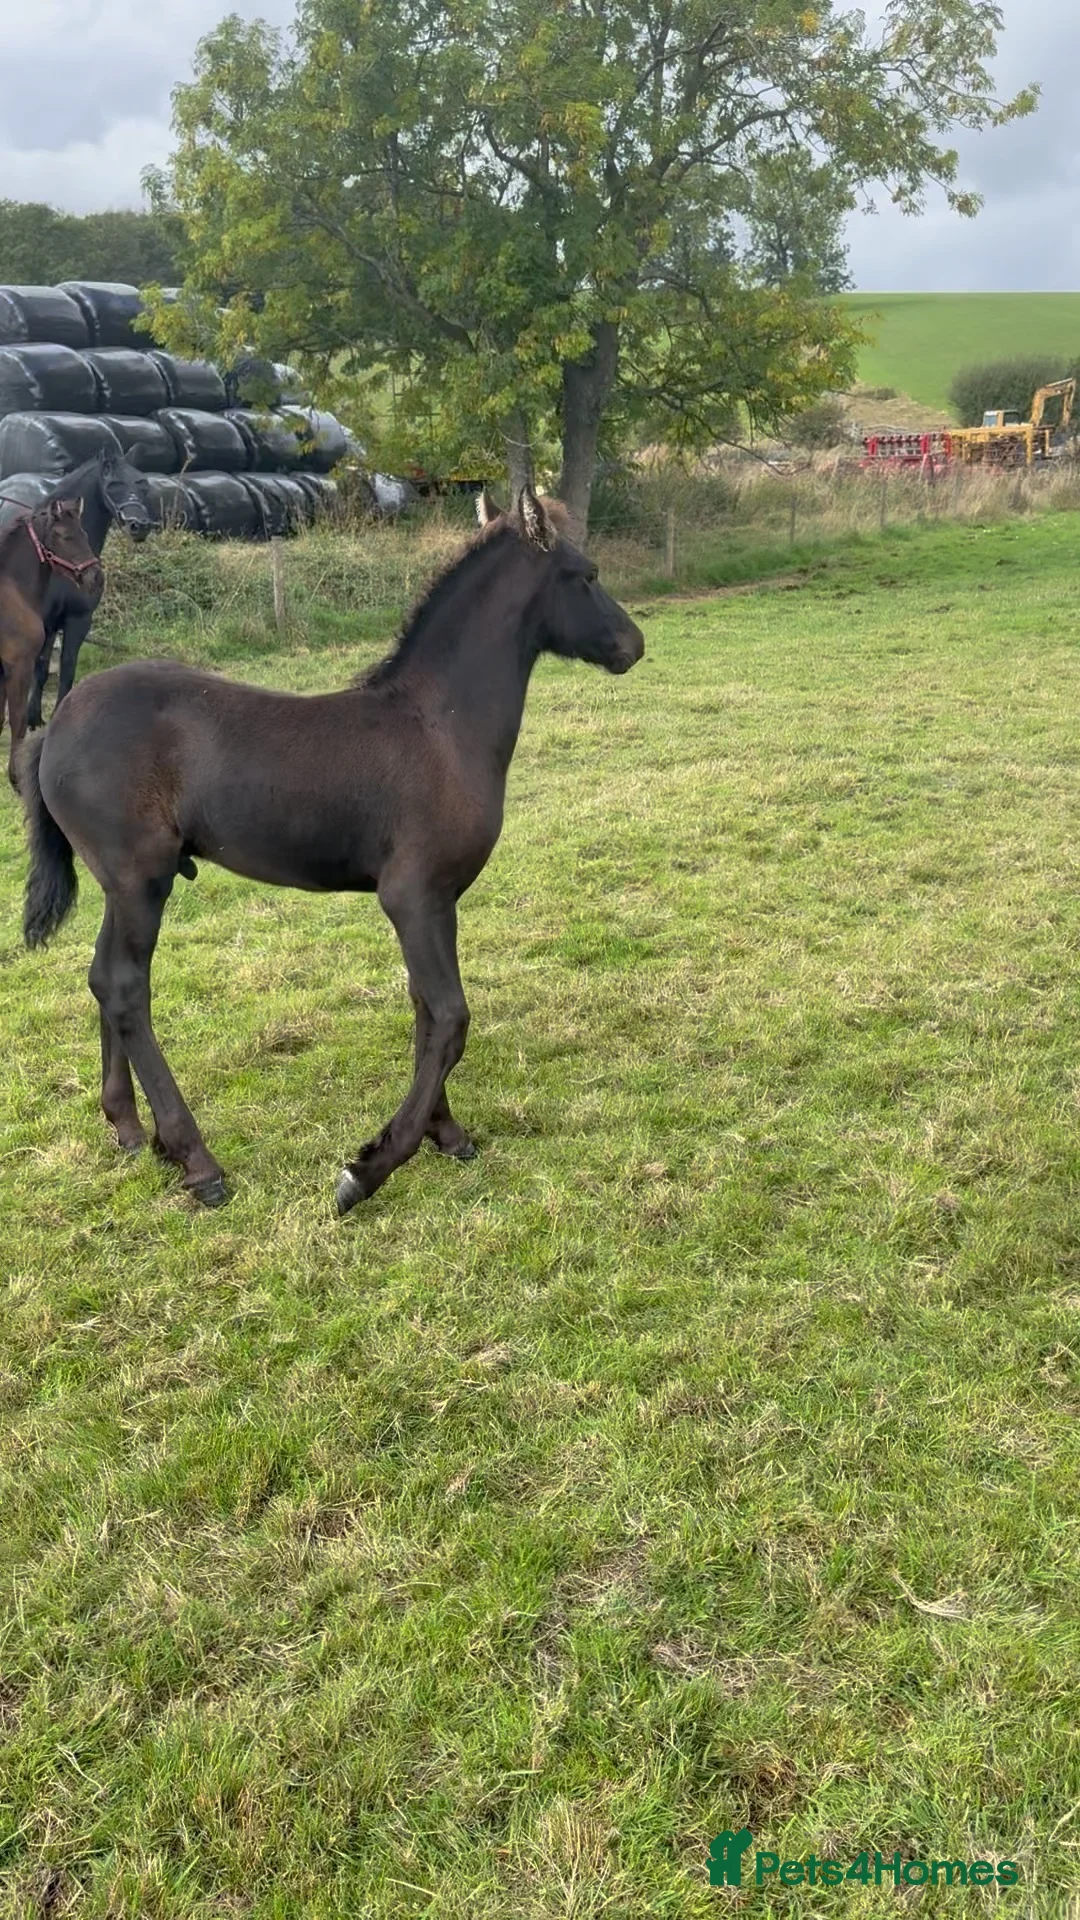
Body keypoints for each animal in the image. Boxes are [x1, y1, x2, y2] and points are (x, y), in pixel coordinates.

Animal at [0, 499, 103, 787]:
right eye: (66, 536)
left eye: (85, 534)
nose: (95, 578)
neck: (14, 593)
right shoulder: (19, 666)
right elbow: (18, 719)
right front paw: (16, 778)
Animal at [20, 486, 644, 1213]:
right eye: (586, 575)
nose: (633, 644)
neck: (439, 727)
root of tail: (54, 727)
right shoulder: (414, 897)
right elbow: (450, 1019)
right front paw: (369, 1168)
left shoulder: (435, 903)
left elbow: (424, 1012)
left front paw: (446, 1133)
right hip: (140, 881)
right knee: (124, 989)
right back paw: (198, 1161)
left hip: (122, 887)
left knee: (102, 979)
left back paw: (128, 1127)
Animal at [25, 450, 153, 730]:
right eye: (113, 484)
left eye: (143, 483)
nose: (139, 526)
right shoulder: (49, 621)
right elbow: (43, 666)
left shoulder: (72, 620)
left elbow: (59, 668)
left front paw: (38, 717)